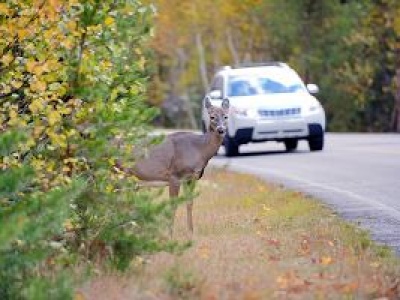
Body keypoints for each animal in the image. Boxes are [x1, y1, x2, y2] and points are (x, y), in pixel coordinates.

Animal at [123, 97, 230, 236]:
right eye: (212, 116)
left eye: (226, 116)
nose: (221, 130)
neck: (199, 149)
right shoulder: (175, 175)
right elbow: (173, 205)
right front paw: (170, 233)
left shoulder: (191, 178)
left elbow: (190, 202)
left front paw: (191, 232)